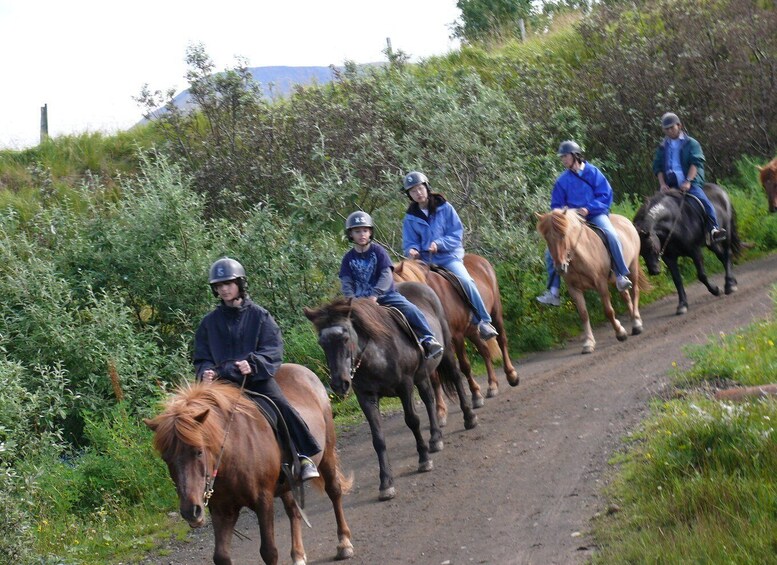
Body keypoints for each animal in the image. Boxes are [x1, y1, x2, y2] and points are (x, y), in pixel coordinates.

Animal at [144, 364, 354, 564]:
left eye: (198, 451)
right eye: (166, 458)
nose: (191, 511)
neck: (232, 455)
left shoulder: (263, 500)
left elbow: (269, 552)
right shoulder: (222, 509)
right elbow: (221, 556)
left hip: (326, 454)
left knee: (334, 491)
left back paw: (344, 544)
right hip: (286, 482)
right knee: (293, 511)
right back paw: (298, 555)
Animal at [304, 284, 478, 500]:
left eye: (345, 337)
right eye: (322, 343)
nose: (339, 384)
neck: (376, 355)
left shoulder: (405, 386)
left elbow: (412, 421)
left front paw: (423, 459)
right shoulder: (366, 398)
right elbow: (378, 439)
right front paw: (386, 483)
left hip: (446, 351)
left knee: (455, 377)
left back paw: (469, 418)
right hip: (422, 375)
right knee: (429, 399)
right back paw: (435, 438)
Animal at [392, 253, 520, 416]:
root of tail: (480, 259)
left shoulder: (457, 336)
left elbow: (464, 366)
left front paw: (476, 396)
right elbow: (434, 378)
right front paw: (440, 411)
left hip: (496, 312)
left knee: (502, 341)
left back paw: (511, 375)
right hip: (472, 330)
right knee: (485, 351)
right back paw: (492, 385)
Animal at [532, 209, 648, 354]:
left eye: (563, 235)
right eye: (547, 238)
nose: (560, 267)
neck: (579, 257)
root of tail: (626, 220)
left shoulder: (601, 284)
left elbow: (608, 311)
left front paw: (620, 333)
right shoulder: (574, 289)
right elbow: (583, 315)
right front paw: (588, 342)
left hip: (632, 267)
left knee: (634, 292)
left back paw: (637, 324)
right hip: (615, 279)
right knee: (625, 296)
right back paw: (633, 320)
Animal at [632, 184, 740, 312]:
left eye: (651, 246)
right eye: (640, 252)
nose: (654, 271)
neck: (674, 223)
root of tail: (721, 190)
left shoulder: (695, 251)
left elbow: (701, 275)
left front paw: (715, 290)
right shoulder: (669, 258)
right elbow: (677, 280)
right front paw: (682, 304)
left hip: (726, 232)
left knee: (727, 254)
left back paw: (729, 285)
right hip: (711, 243)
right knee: (722, 256)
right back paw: (732, 281)